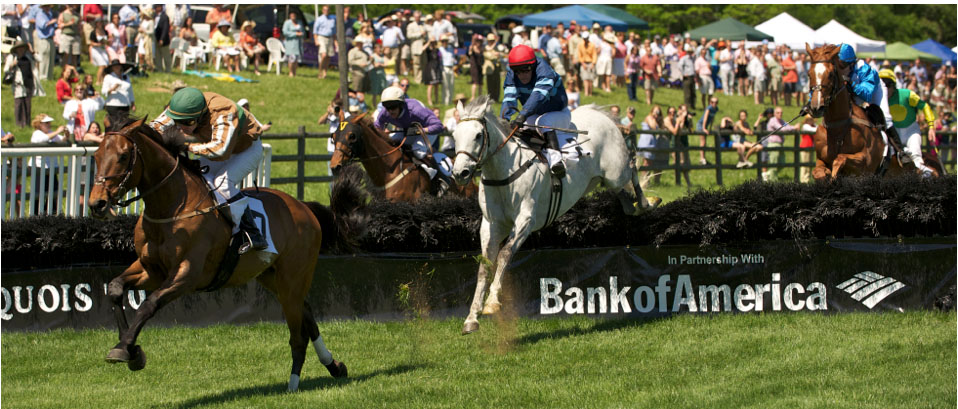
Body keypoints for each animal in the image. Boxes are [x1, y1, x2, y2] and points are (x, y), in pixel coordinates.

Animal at [87, 116, 368, 390]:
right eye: (97, 156)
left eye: (123, 156)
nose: (96, 203)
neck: (172, 208)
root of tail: (304, 207)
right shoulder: (151, 269)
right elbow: (115, 288)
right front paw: (129, 348)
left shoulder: (187, 274)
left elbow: (149, 304)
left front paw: (125, 349)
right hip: (271, 276)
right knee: (306, 313)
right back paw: (334, 366)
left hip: (294, 277)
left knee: (298, 335)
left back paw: (293, 385)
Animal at [450, 96, 660, 334]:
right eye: (454, 136)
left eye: (478, 135)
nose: (459, 173)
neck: (503, 172)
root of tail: (600, 114)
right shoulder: (491, 224)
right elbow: (485, 265)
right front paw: (471, 318)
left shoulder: (525, 221)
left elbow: (504, 254)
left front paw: (492, 302)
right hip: (606, 182)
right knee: (626, 203)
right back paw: (638, 205)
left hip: (616, 173)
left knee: (633, 167)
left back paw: (648, 201)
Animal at [808, 43, 940, 180]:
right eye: (809, 74)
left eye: (830, 74)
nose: (816, 107)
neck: (838, 125)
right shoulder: (821, 159)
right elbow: (818, 172)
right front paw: (827, 175)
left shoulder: (865, 163)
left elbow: (840, 158)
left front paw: (833, 175)